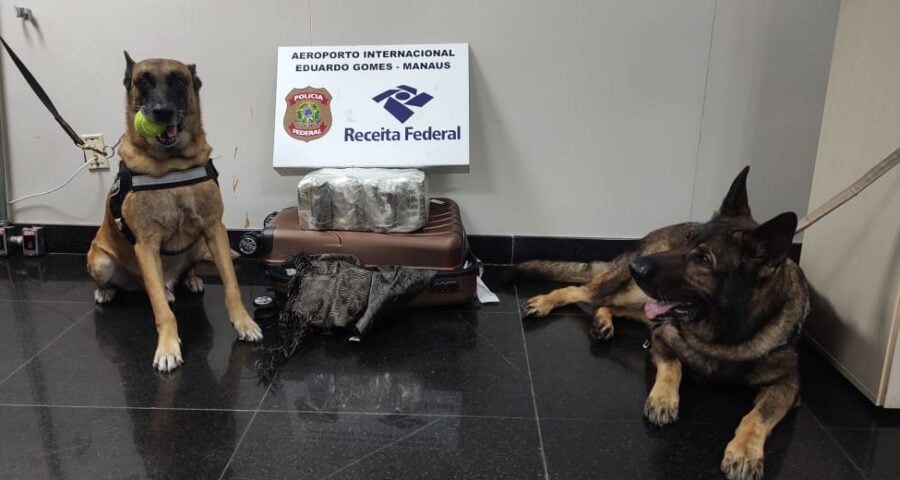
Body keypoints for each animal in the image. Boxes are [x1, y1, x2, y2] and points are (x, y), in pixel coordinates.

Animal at [87, 54, 260, 374]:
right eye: (142, 81)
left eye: (178, 80)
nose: (161, 112)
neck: (172, 166)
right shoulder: (146, 245)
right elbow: (161, 311)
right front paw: (168, 347)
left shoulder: (214, 230)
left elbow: (232, 285)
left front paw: (244, 323)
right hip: (102, 261)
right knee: (141, 286)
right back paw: (108, 291)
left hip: (197, 244)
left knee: (180, 272)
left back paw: (189, 279)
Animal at [520, 166, 808, 480]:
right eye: (687, 241)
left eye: (704, 259)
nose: (637, 268)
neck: (723, 337)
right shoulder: (661, 340)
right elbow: (674, 366)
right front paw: (663, 399)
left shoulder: (788, 385)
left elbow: (757, 416)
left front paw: (745, 451)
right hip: (629, 291)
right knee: (580, 291)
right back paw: (544, 303)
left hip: (643, 304)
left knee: (606, 305)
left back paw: (603, 323)